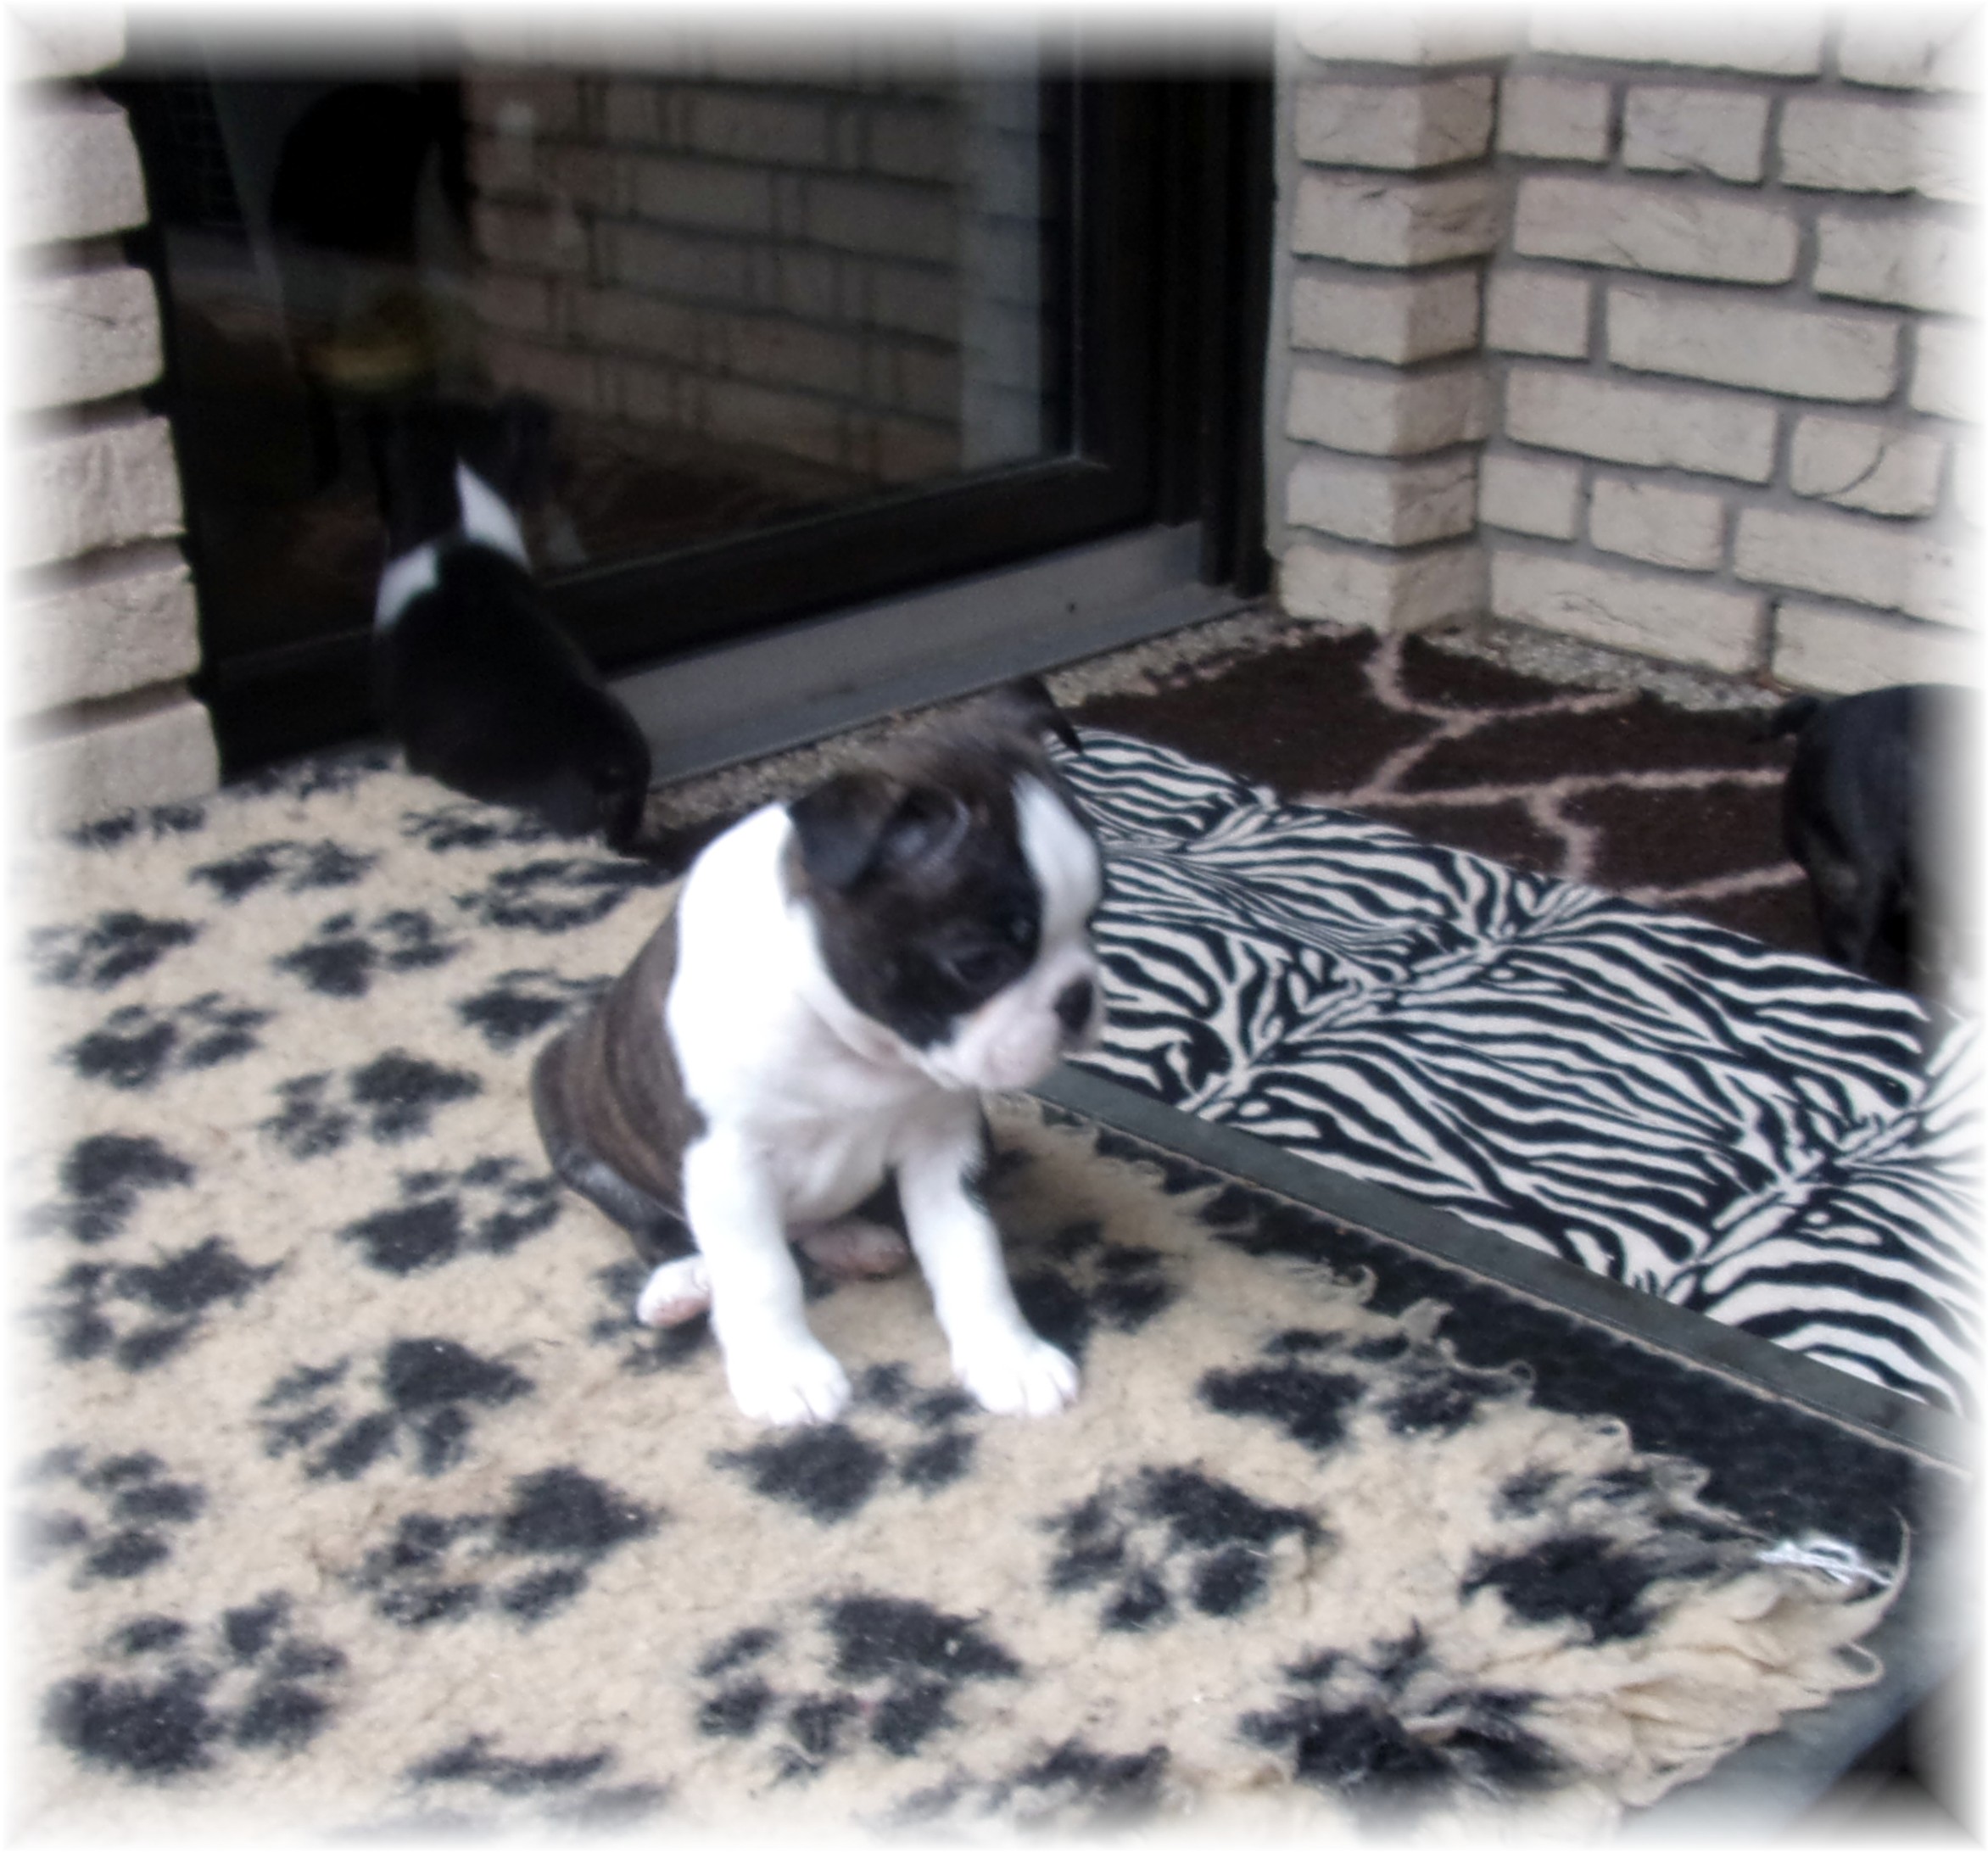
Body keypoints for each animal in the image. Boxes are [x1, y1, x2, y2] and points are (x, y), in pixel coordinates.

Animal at [531, 681, 1105, 1426]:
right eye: (979, 963)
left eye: (1093, 920)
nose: (1077, 998)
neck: (851, 1039)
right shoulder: (728, 1163)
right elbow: (761, 1272)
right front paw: (785, 1372)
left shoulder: (945, 1142)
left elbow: (970, 1251)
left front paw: (1009, 1356)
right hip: (562, 1101)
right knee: (660, 1226)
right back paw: (684, 1281)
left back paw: (854, 1241)